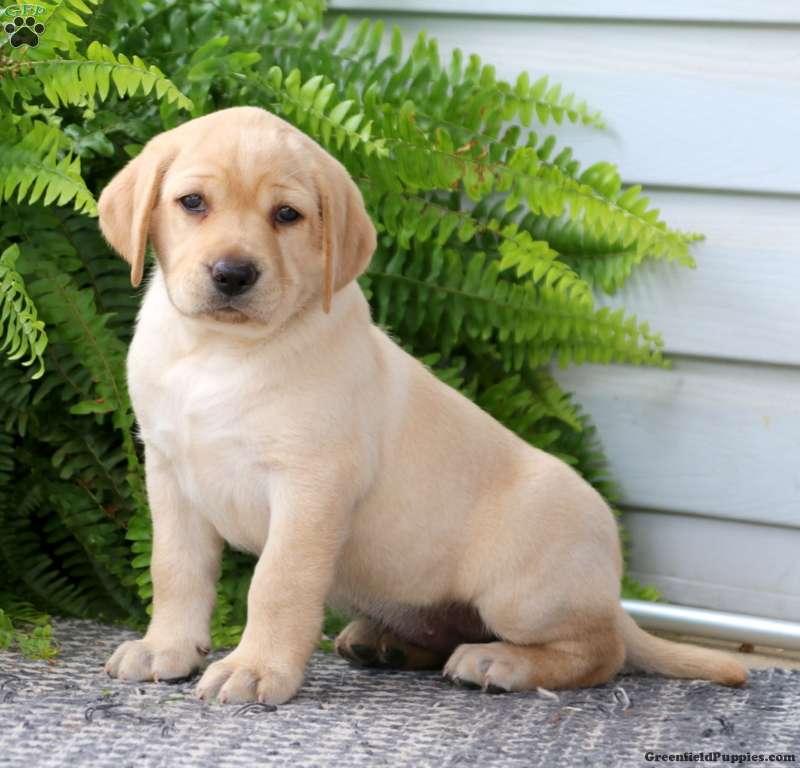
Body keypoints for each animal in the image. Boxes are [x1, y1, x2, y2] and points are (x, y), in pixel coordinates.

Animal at [97, 106, 748, 704]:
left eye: (286, 215)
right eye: (192, 202)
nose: (233, 273)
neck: (218, 353)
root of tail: (612, 593)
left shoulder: (312, 485)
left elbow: (277, 583)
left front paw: (255, 668)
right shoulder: (170, 472)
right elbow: (175, 569)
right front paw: (166, 648)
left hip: (523, 592)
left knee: (599, 650)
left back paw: (501, 662)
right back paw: (386, 643)